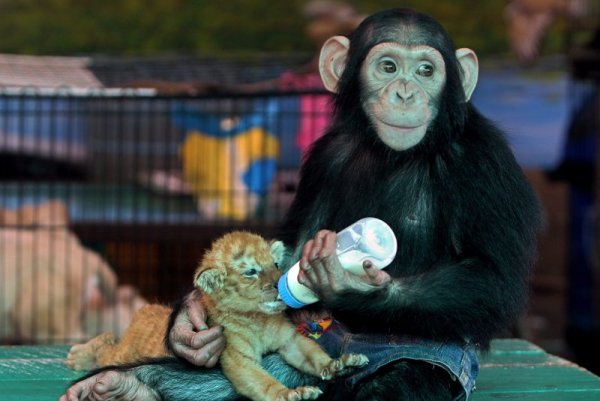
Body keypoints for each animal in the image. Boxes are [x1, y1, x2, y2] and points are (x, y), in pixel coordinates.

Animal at [59, 8, 540, 400]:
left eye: (426, 70)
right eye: (388, 66)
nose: (406, 92)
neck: (394, 153)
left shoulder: (484, 163)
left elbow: (491, 278)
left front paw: (348, 285)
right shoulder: (326, 155)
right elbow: (295, 238)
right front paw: (188, 322)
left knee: (400, 380)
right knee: (208, 380)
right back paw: (122, 385)